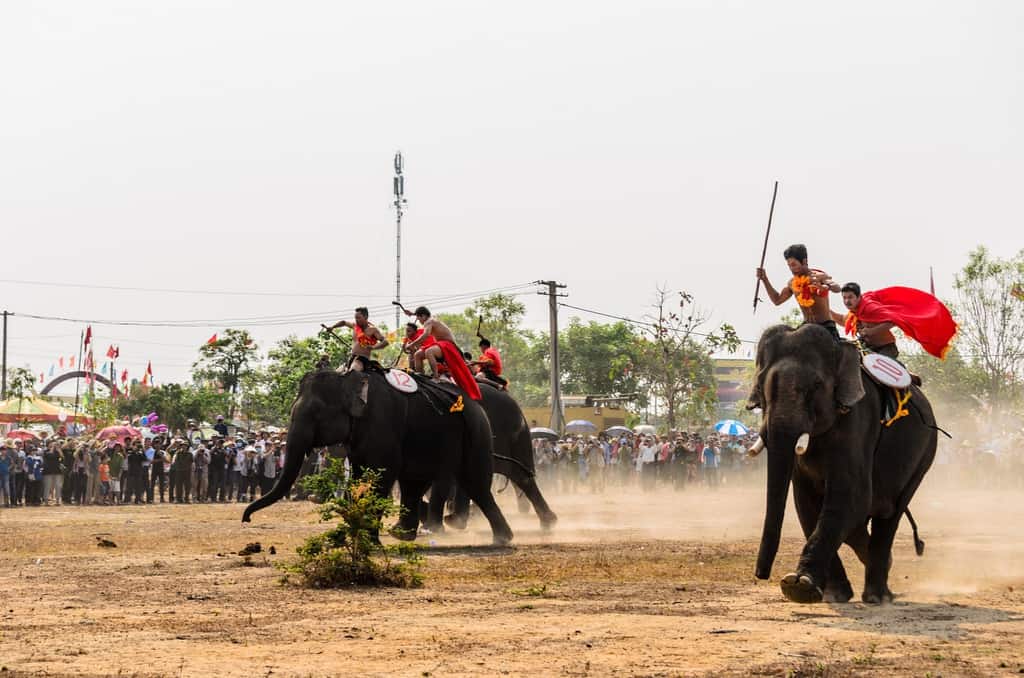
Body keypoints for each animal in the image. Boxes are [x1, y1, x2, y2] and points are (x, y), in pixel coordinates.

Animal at [238, 366, 512, 548]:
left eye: (316, 412)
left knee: (475, 483)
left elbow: (382, 474)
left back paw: (502, 539)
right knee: (414, 483)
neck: (347, 379)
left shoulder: (381, 420)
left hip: (476, 434)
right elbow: (360, 475)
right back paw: (402, 534)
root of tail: (475, 401)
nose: (246, 519)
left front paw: (369, 544)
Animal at [753, 323, 937, 606]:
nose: (761, 574)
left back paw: (877, 596)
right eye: (761, 386)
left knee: (890, 514)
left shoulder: (859, 420)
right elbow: (807, 503)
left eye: (816, 385)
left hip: (924, 455)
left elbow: (851, 497)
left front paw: (798, 586)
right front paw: (830, 595)